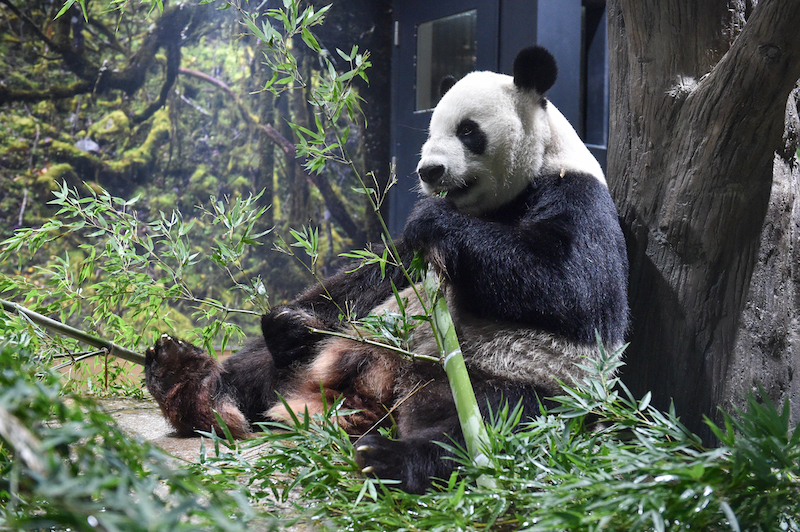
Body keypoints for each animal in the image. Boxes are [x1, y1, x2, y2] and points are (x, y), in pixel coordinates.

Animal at [147, 46, 628, 494]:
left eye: (468, 131)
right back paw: (186, 379)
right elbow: (376, 273)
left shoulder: (576, 196)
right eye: (431, 131)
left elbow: (571, 288)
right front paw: (289, 322)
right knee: (259, 362)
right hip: (343, 342)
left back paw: (388, 457)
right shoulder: (404, 259)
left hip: (508, 378)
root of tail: (376, 395)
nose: (430, 170)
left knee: (490, 423)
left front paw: (436, 219)